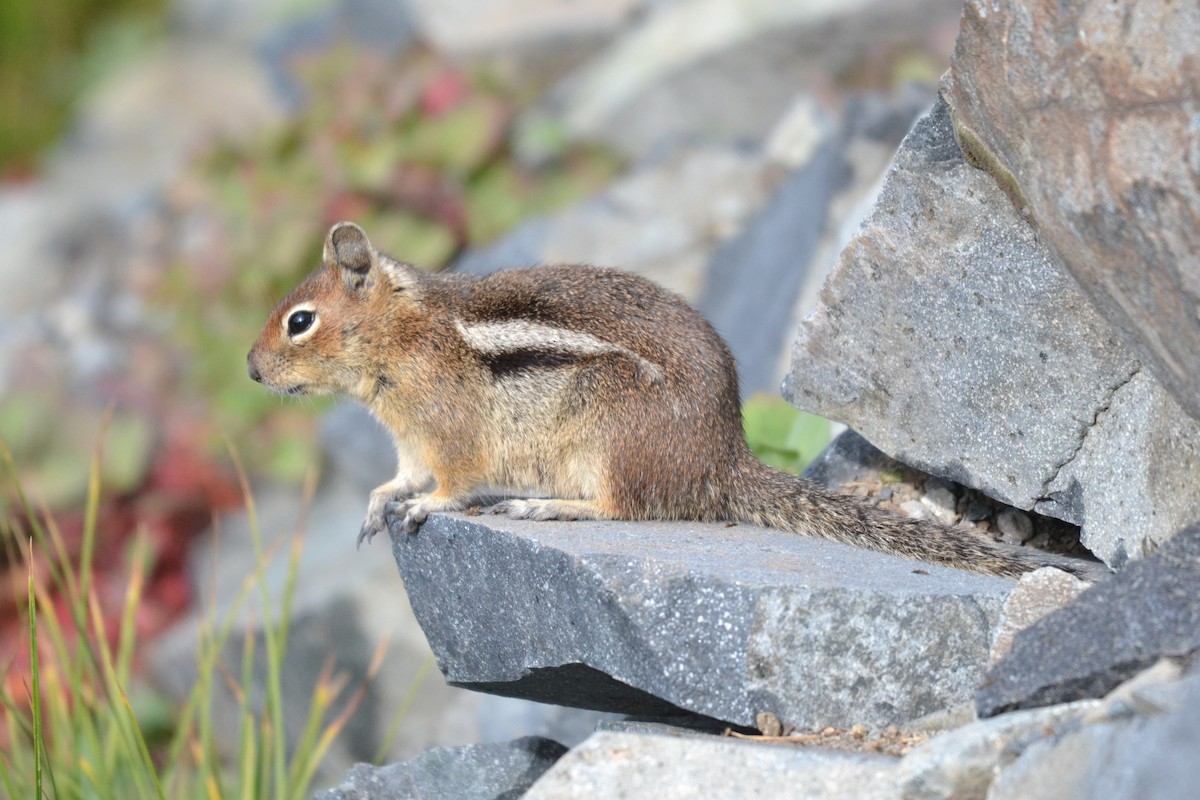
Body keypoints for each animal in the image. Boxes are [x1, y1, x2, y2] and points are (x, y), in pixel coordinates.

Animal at [247, 221, 1087, 579]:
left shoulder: (448, 436)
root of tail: (721, 459)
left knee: (625, 509)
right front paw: (377, 503)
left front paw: (429, 508)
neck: (399, 335)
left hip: (610, 444)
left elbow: (449, 485)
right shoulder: (408, 441)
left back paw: (544, 505)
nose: (251, 371)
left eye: (299, 321)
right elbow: (397, 477)